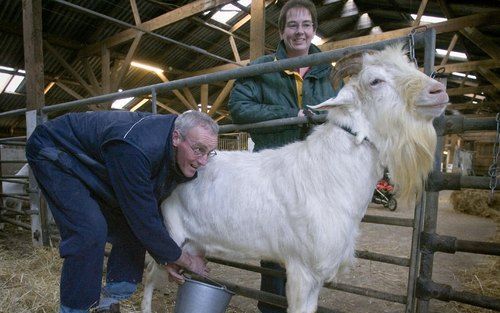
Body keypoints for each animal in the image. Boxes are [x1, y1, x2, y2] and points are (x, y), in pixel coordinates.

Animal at [141, 44, 450, 312]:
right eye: (375, 81)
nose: (439, 91)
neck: (329, 172)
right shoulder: (303, 268)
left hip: (194, 244)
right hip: (169, 235)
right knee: (149, 276)